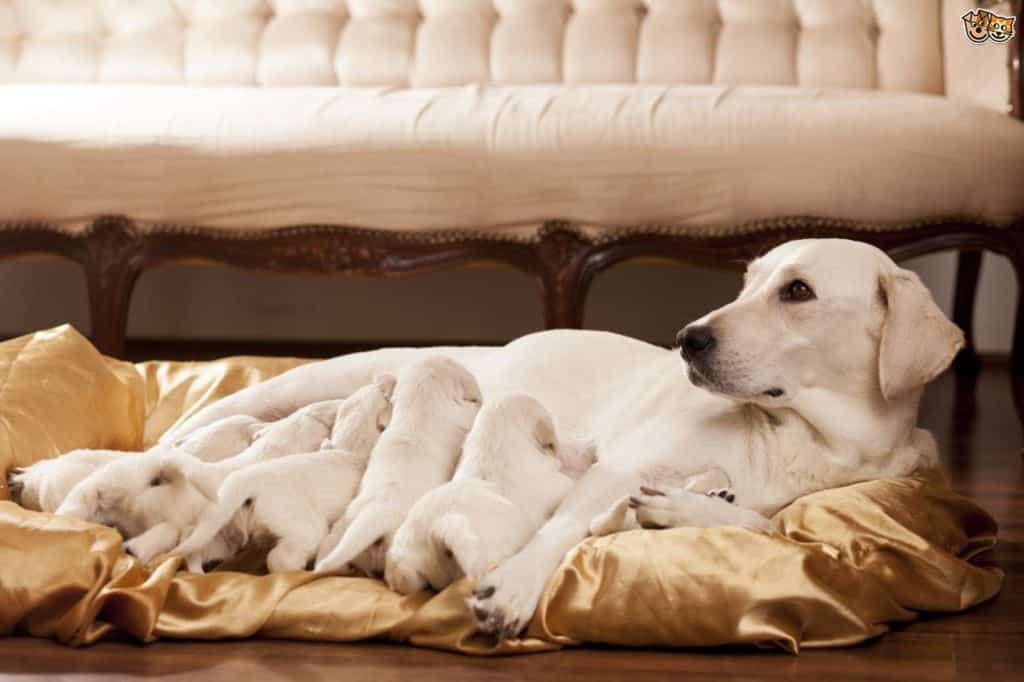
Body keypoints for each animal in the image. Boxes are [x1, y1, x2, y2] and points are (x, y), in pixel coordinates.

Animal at [169, 376, 393, 573]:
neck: (350, 446)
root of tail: (249, 480)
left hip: (220, 535)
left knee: (197, 552)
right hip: (305, 526)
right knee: (280, 558)